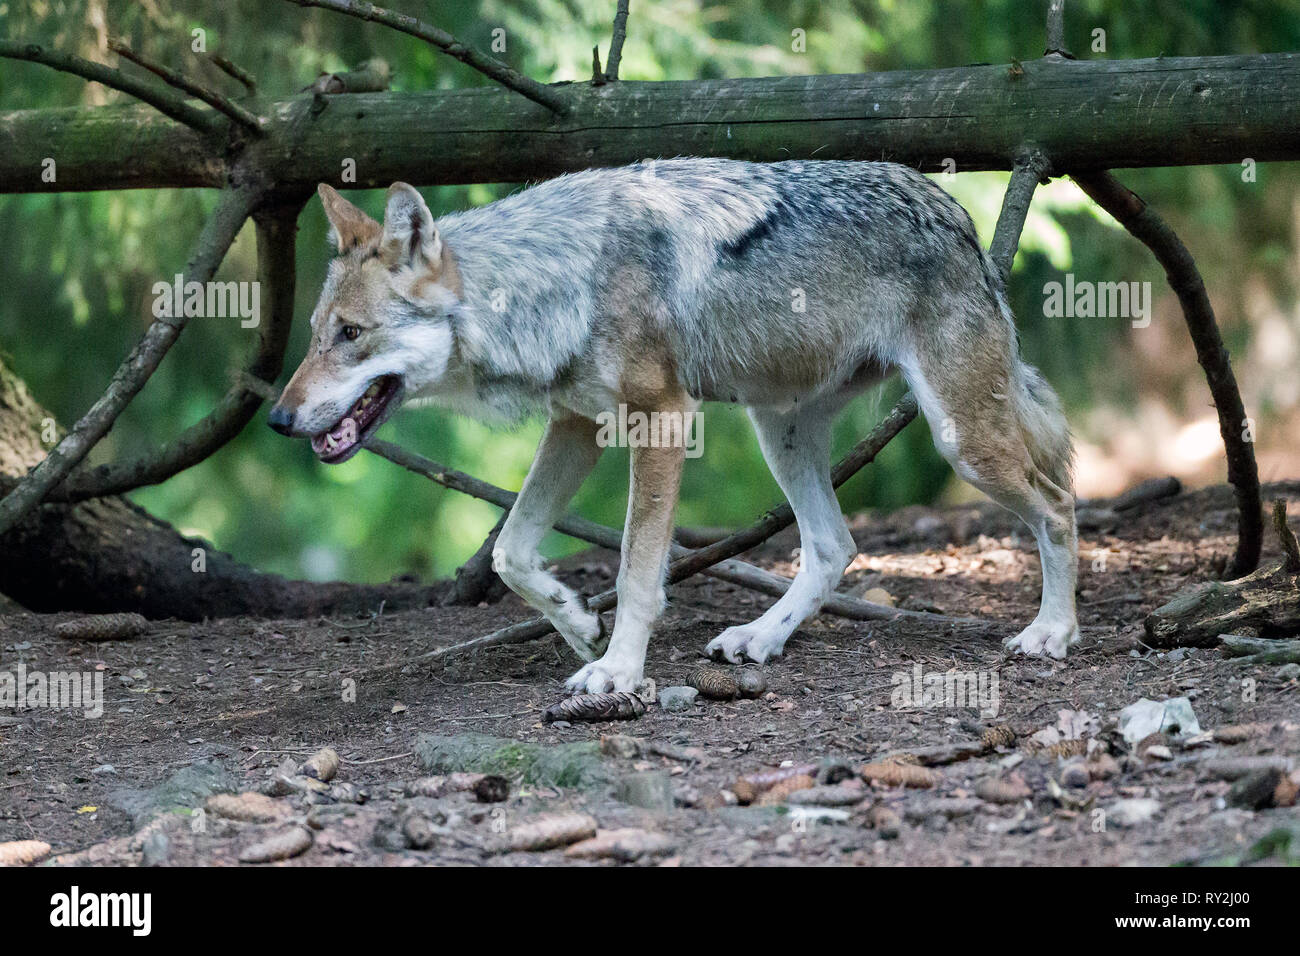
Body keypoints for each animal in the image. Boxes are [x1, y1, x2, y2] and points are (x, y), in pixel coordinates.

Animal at [269, 158, 1081, 697]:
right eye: (313, 336)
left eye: (350, 334)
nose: (277, 418)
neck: (555, 281)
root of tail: (956, 211)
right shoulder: (574, 425)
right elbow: (509, 553)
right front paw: (573, 623)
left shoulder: (659, 419)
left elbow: (635, 570)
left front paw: (618, 670)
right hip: (779, 430)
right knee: (834, 546)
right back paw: (761, 638)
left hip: (960, 440)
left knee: (1059, 505)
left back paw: (1053, 632)